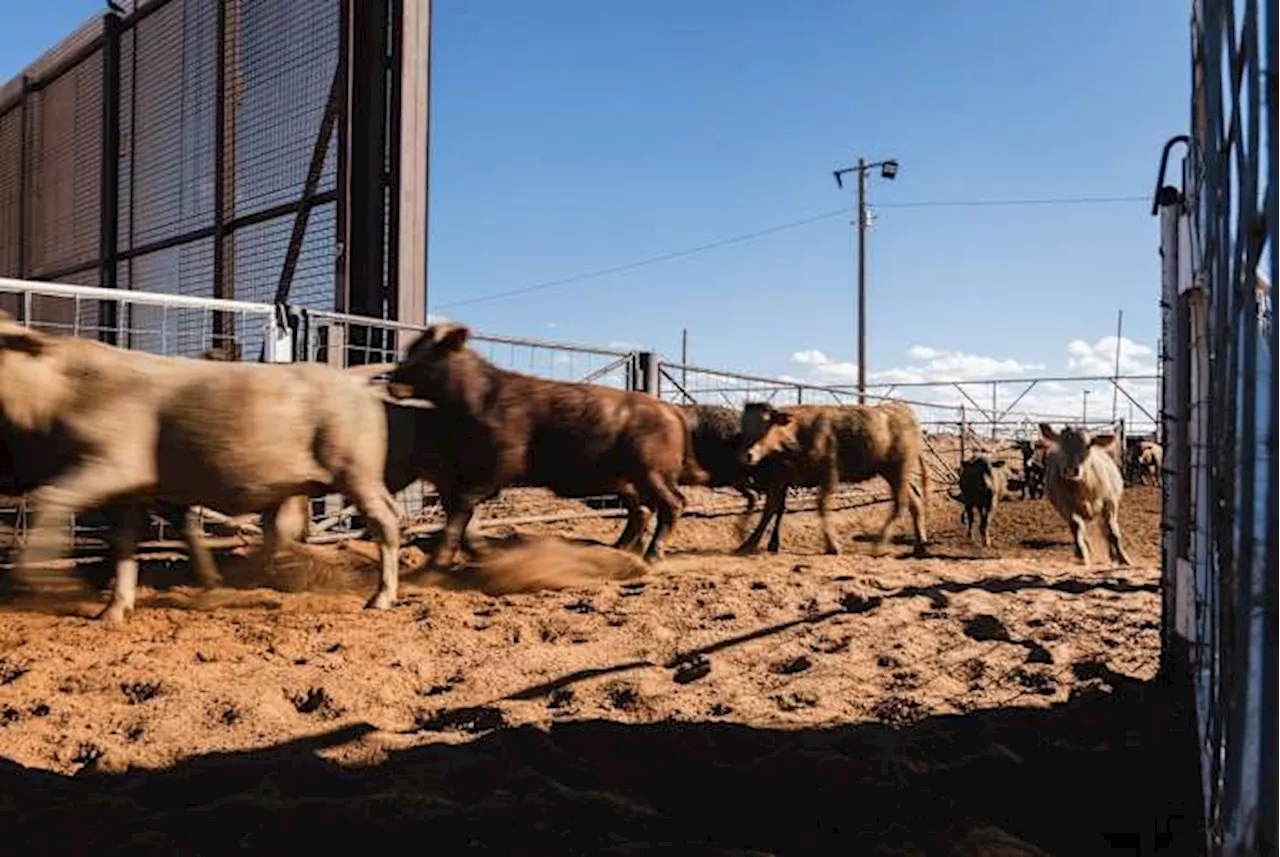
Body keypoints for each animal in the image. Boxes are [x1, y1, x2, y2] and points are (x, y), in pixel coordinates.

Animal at [0, 312, 401, 621]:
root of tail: (352, 378)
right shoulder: (134, 491)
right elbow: (128, 545)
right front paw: (113, 611)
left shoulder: (114, 464)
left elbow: (54, 498)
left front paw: (42, 580)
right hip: (307, 483)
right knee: (282, 533)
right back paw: (228, 586)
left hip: (355, 470)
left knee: (383, 520)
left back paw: (380, 598)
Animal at [384, 322, 716, 570]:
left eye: (426, 354)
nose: (392, 378)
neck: (477, 398)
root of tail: (670, 410)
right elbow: (461, 511)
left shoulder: (495, 468)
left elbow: (461, 506)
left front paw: (439, 562)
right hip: (625, 478)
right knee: (642, 509)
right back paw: (618, 549)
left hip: (651, 471)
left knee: (673, 503)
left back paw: (652, 556)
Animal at [732, 401, 931, 557]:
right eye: (744, 426)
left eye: (766, 426)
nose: (747, 455)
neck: (798, 433)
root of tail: (903, 409)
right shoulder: (781, 479)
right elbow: (769, 509)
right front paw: (748, 544)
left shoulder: (829, 475)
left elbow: (822, 506)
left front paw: (832, 546)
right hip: (894, 474)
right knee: (915, 501)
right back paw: (920, 545)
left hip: (898, 470)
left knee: (900, 504)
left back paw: (878, 544)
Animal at [1039, 424, 1131, 570]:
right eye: (1060, 444)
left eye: (1088, 446)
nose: (1071, 470)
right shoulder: (1065, 506)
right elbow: (1077, 527)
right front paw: (1082, 555)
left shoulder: (1110, 503)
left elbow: (1112, 531)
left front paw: (1123, 559)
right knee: (1081, 531)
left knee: (1105, 529)